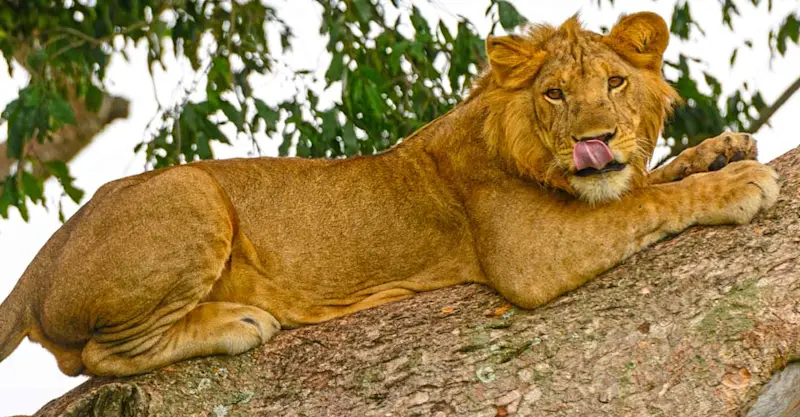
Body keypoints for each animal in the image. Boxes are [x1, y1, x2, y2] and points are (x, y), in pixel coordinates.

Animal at [0, 12, 778, 377]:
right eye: (555, 93)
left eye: (616, 82)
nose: (599, 138)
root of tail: (40, 261)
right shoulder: (529, 256)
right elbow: (645, 202)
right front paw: (738, 181)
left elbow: (646, 180)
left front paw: (720, 148)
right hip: (191, 190)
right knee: (95, 357)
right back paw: (236, 322)